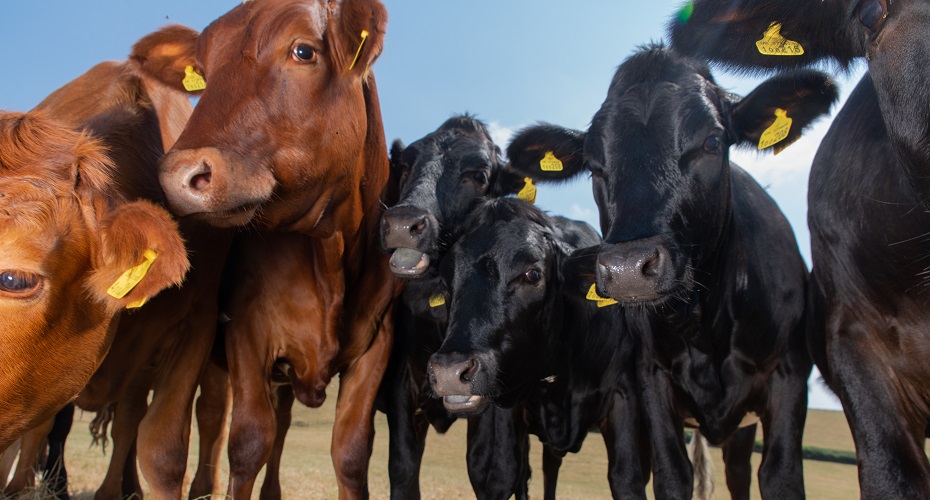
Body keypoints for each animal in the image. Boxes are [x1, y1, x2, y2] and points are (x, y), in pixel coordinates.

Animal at [153, 1, 399, 497]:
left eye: (303, 50)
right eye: (202, 73)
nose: (179, 175)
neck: (331, 256)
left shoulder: (377, 343)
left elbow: (351, 452)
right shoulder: (247, 331)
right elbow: (248, 441)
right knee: (214, 414)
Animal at [378, 114, 531, 498]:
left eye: (478, 174)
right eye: (405, 166)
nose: (402, 224)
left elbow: (494, 472)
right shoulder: (402, 384)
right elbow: (403, 467)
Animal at [503, 44, 836, 498]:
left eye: (712, 141)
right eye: (594, 165)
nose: (627, 267)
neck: (705, 323)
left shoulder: (789, 376)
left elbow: (780, 475)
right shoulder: (651, 380)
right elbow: (673, 474)